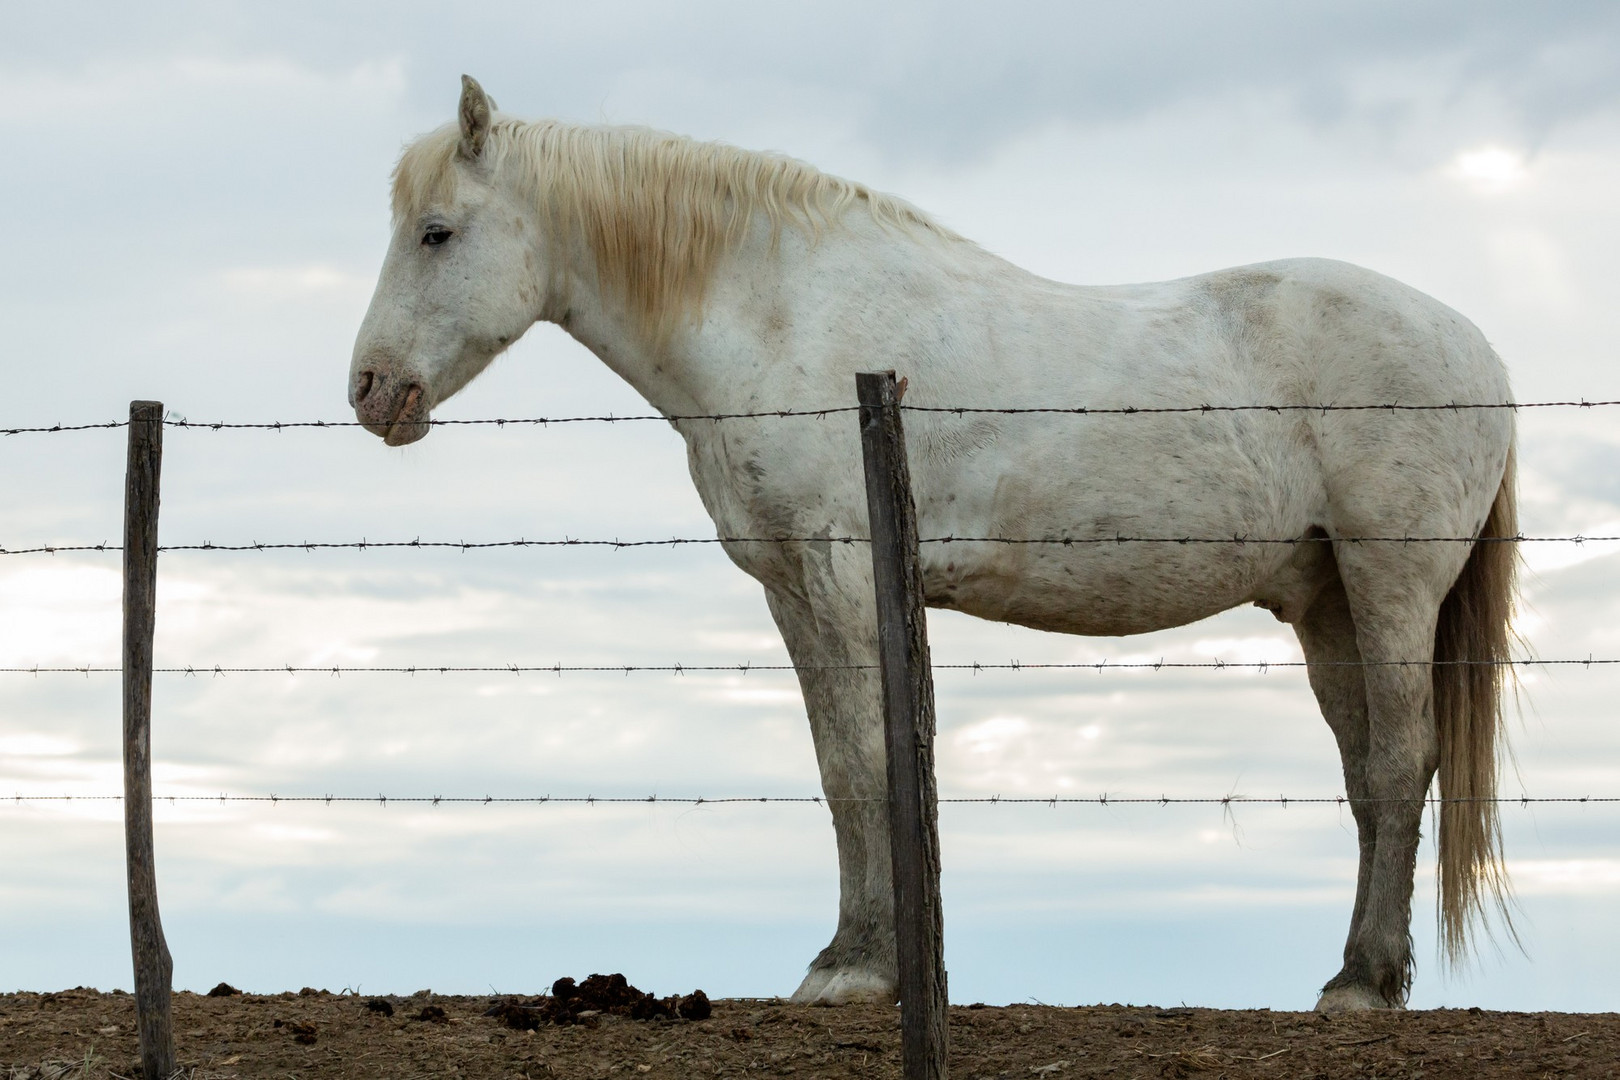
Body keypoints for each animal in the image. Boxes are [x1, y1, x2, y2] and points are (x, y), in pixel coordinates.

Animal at [351, 78, 1516, 1016]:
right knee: (1368, 776)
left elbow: (873, 762)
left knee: (1402, 761)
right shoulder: (791, 589)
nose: (370, 392)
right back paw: (1356, 973)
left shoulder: (844, 572)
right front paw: (846, 959)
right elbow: (838, 769)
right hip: (1325, 601)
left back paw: (1365, 985)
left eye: (438, 233)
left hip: (1389, 584)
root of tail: (1481, 350)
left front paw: (865, 969)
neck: (784, 317)